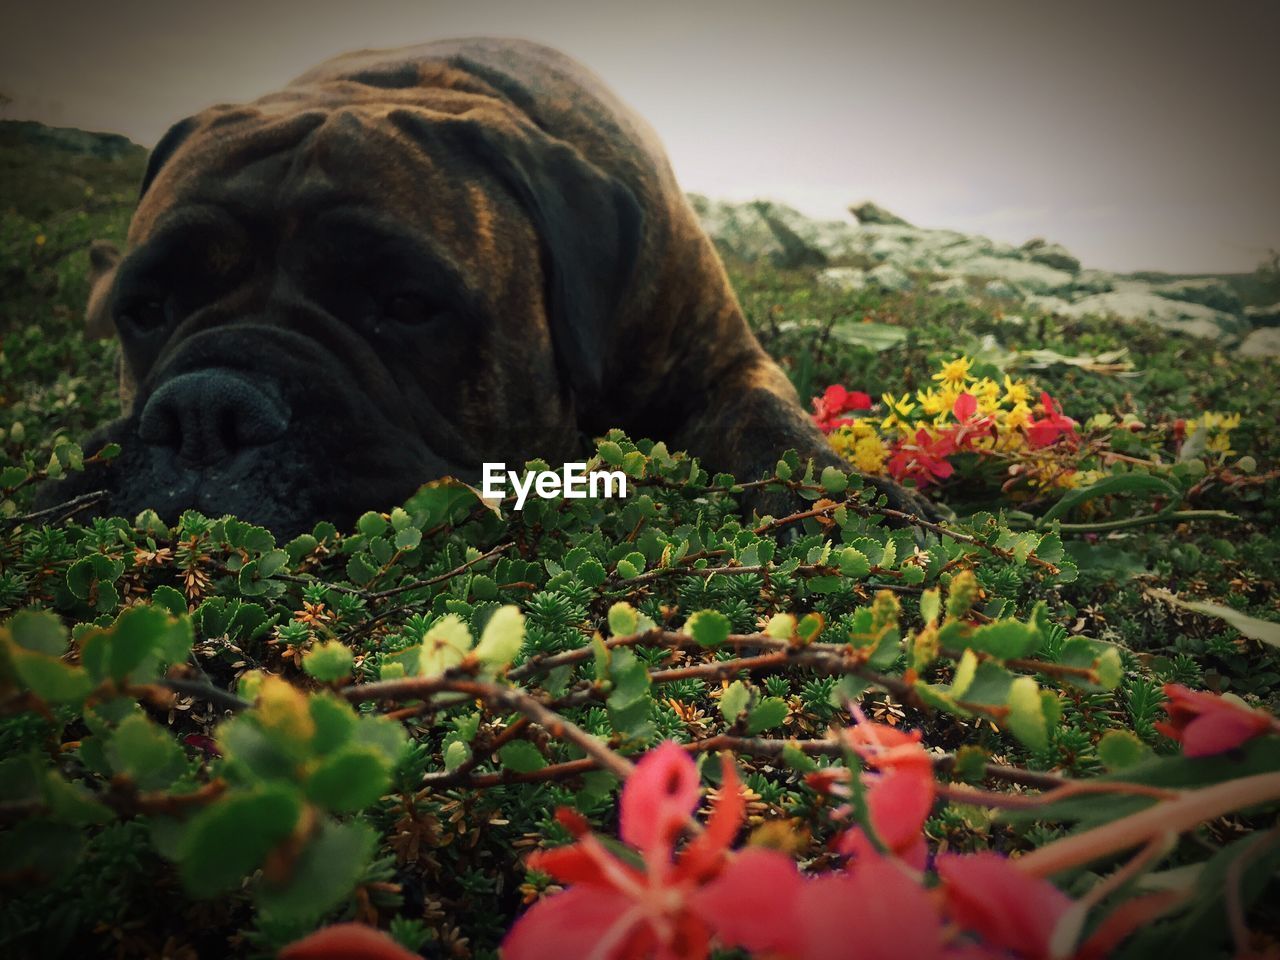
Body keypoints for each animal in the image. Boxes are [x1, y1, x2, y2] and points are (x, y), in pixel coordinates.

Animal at [49, 37, 931, 537]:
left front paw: (840, 500)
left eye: (407, 304)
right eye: (146, 310)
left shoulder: (725, 362)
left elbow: (773, 426)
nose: (206, 414)